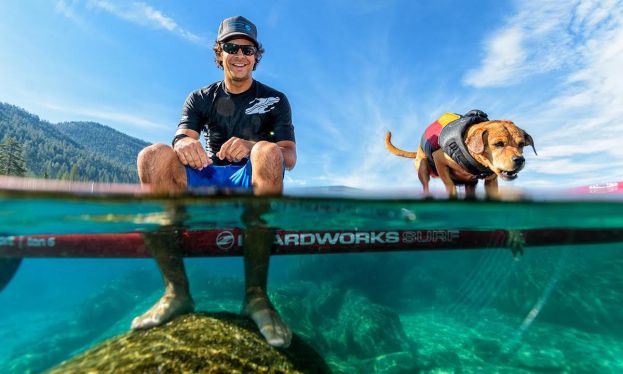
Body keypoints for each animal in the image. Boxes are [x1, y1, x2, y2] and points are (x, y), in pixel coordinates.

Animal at [386, 111, 536, 199]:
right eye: (498, 144)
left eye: (521, 144)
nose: (520, 160)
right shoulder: (439, 160)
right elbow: (449, 185)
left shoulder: (491, 181)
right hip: (422, 169)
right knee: (425, 184)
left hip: (470, 185)